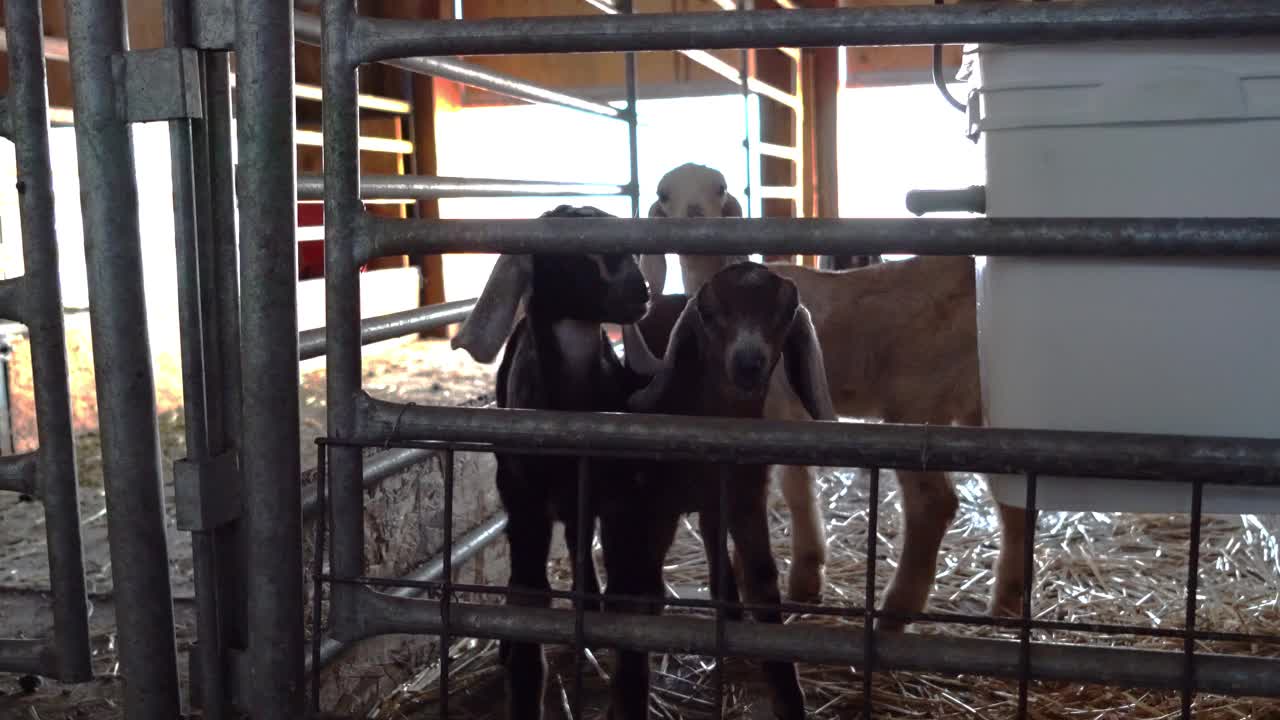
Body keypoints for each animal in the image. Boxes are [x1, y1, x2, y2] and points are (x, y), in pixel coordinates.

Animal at [450, 203, 650, 717]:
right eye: (575, 256)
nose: (640, 290)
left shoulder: (621, 499)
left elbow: (628, 603)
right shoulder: (524, 504)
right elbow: (528, 600)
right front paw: (521, 684)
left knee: (580, 543)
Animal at [609, 262, 839, 717]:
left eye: (785, 313)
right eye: (709, 314)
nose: (749, 363)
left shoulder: (747, 500)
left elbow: (764, 580)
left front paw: (789, 697)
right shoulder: (655, 510)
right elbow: (641, 592)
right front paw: (628, 692)